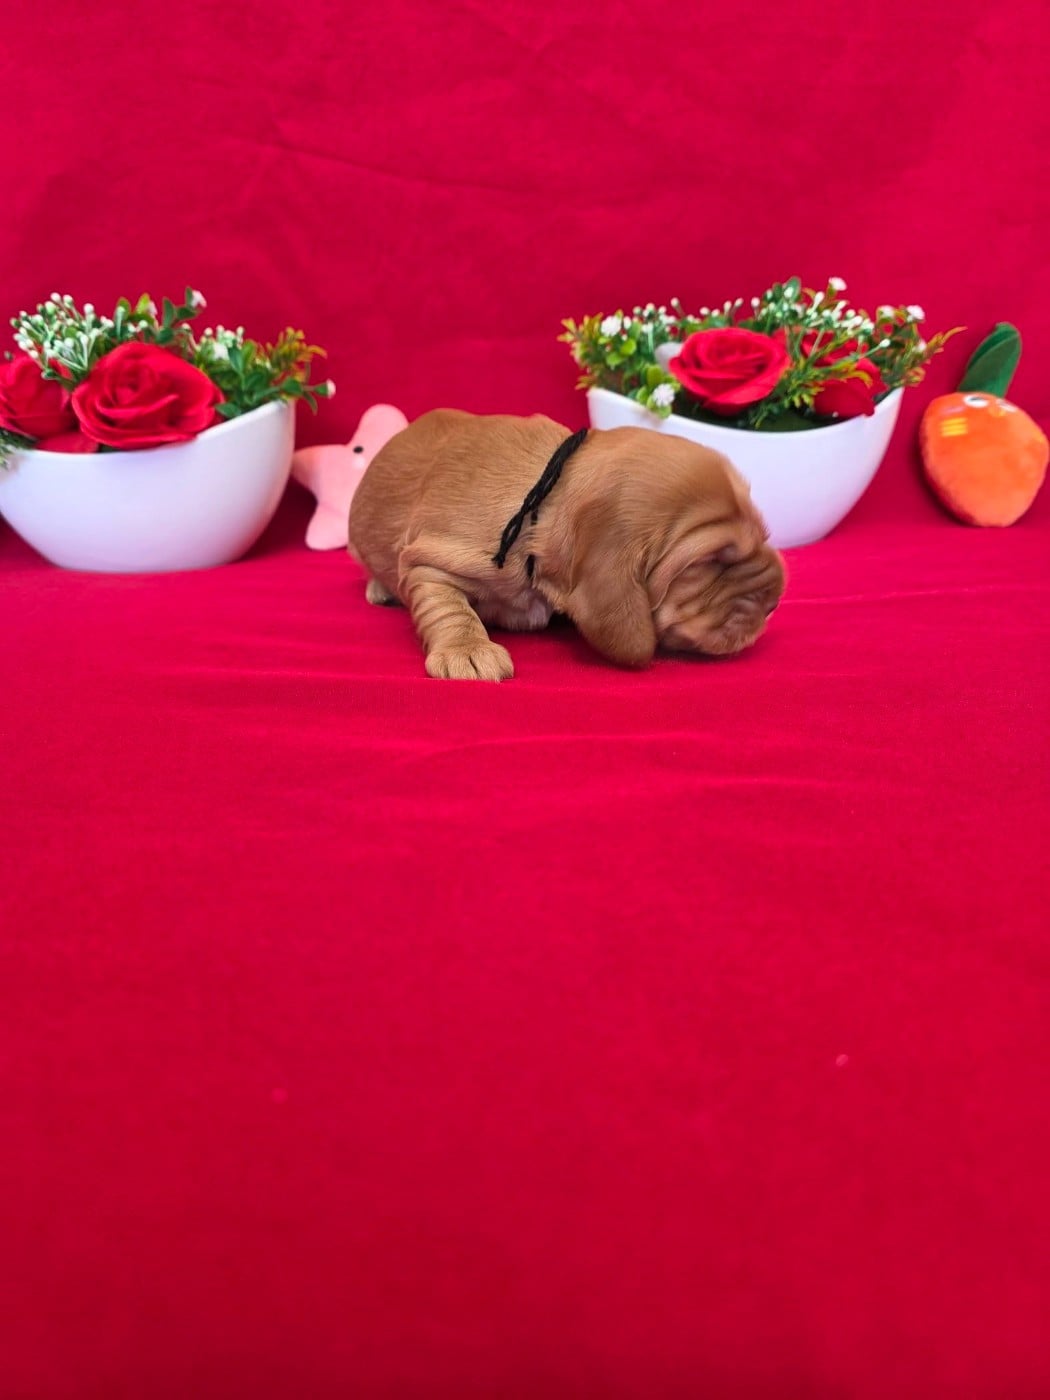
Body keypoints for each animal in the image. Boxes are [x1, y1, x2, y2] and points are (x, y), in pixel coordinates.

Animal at [348, 409, 785, 680]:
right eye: (709, 561)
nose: (774, 603)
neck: (543, 496)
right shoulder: (429, 558)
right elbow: (445, 606)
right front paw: (466, 650)